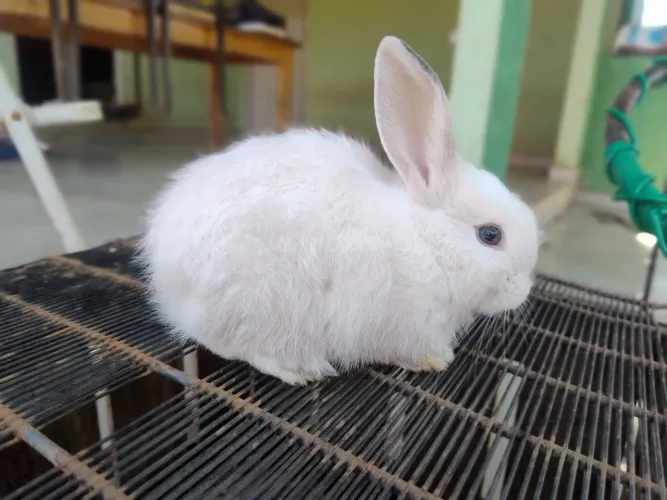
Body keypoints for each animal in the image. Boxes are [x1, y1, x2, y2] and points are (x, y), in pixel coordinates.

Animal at [138, 36, 540, 385]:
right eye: (490, 235)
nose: (523, 292)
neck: (427, 244)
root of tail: (168, 276)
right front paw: (435, 360)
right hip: (257, 300)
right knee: (237, 346)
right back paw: (298, 369)